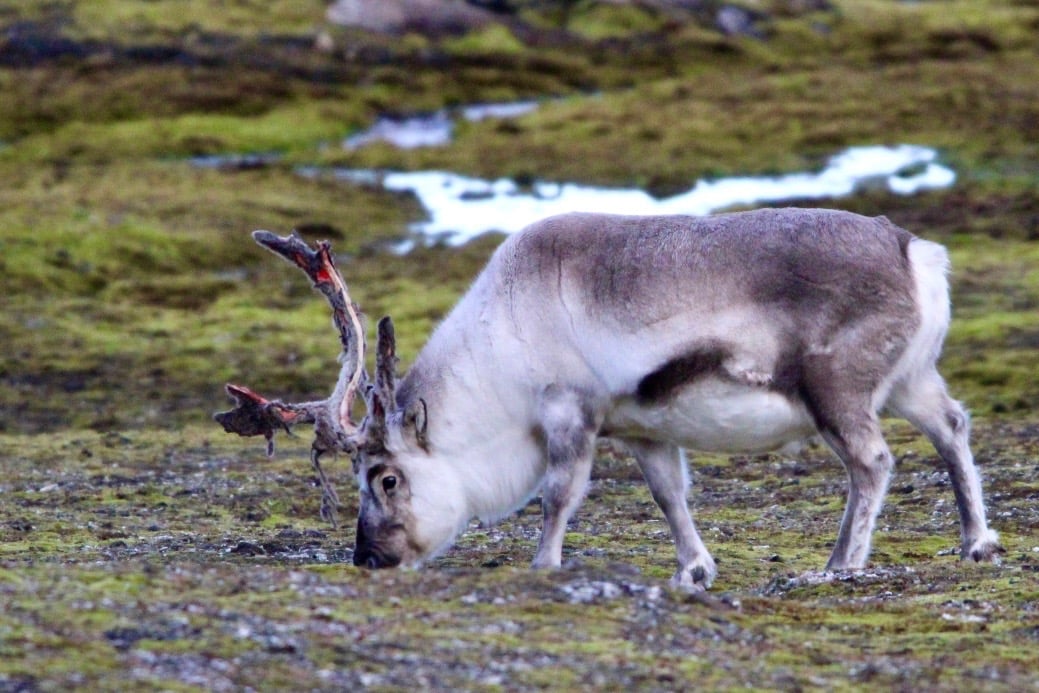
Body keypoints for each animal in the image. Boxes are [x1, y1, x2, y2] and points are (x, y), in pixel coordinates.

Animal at [215, 208, 1002, 590]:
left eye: (385, 477)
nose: (368, 559)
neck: (499, 354)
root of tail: (917, 252)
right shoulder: (645, 427)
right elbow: (669, 495)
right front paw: (694, 569)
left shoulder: (571, 411)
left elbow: (559, 494)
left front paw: (543, 564)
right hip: (909, 379)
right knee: (952, 425)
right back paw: (976, 541)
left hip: (835, 388)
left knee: (872, 462)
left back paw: (842, 563)